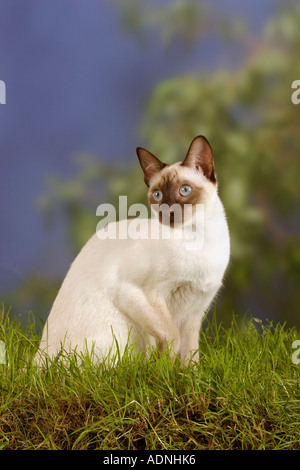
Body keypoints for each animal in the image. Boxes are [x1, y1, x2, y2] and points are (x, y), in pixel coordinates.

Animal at [35, 134, 232, 366]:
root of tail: (37, 358)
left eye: (185, 190)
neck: (198, 237)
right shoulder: (137, 292)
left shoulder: (194, 312)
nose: (167, 212)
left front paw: (186, 376)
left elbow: (191, 357)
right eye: (157, 195)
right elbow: (172, 336)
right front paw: (163, 369)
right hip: (124, 334)